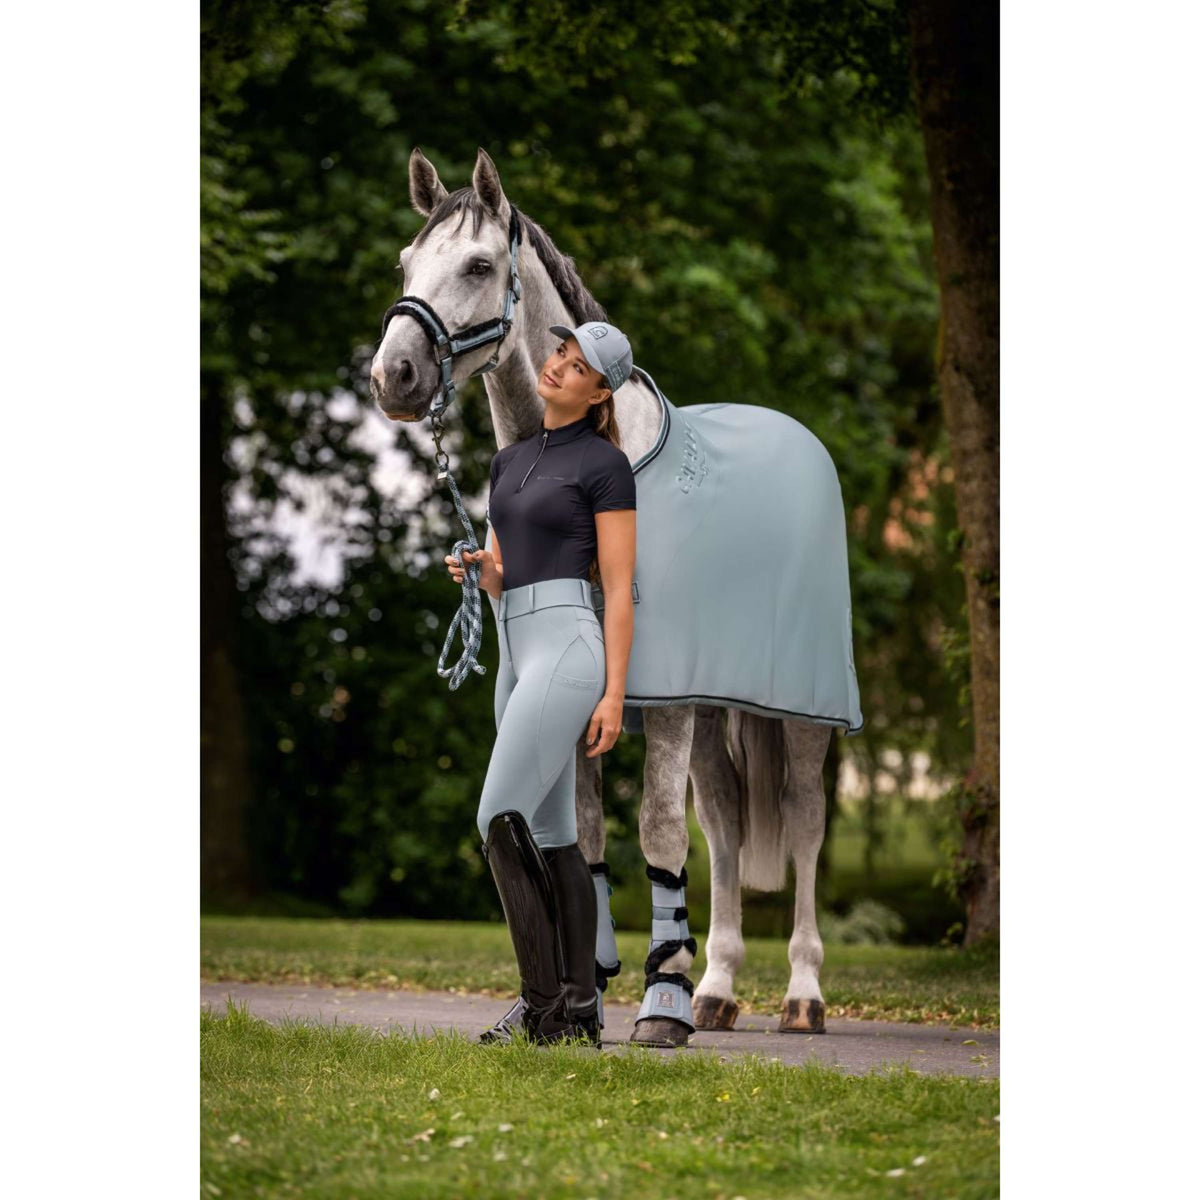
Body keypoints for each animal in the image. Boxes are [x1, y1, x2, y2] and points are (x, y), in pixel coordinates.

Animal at [370, 146, 860, 1046]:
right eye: (404, 264)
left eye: (479, 264)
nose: (395, 375)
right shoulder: (588, 704)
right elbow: (586, 837)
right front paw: (588, 996)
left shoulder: (660, 702)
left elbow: (657, 831)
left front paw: (659, 1004)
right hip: (713, 706)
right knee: (727, 826)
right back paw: (718, 990)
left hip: (799, 716)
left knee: (804, 822)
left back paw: (801, 995)